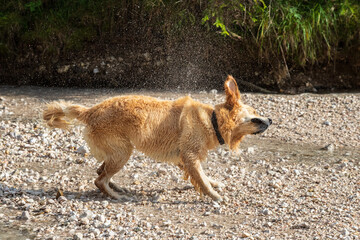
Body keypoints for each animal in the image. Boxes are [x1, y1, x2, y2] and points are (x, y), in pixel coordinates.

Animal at [43, 75, 272, 201]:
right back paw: (116, 195)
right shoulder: (189, 155)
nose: (270, 119)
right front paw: (214, 196)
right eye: (255, 112)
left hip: (116, 152)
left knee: (100, 172)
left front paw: (214, 184)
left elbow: (202, 176)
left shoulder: (182, 157)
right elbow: (202, 179)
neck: (212, 119)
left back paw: (117, 187)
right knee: (99, 179)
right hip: (123, 151)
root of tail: (90, 111)